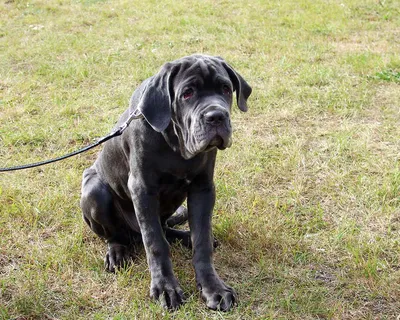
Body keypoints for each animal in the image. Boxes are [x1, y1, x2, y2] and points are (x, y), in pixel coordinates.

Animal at [79, 53, 252, 312]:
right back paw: (117, 252)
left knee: (166, 229)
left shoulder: (203, 187)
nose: (216, 116)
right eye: (187, 93)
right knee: (121, 235)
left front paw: (213, 288)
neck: (174, 141)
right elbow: (155, 242)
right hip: (94, 191)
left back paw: (185, 236)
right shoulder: (142, 189)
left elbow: (202, 239)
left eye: (225, 88)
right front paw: (165, 288)